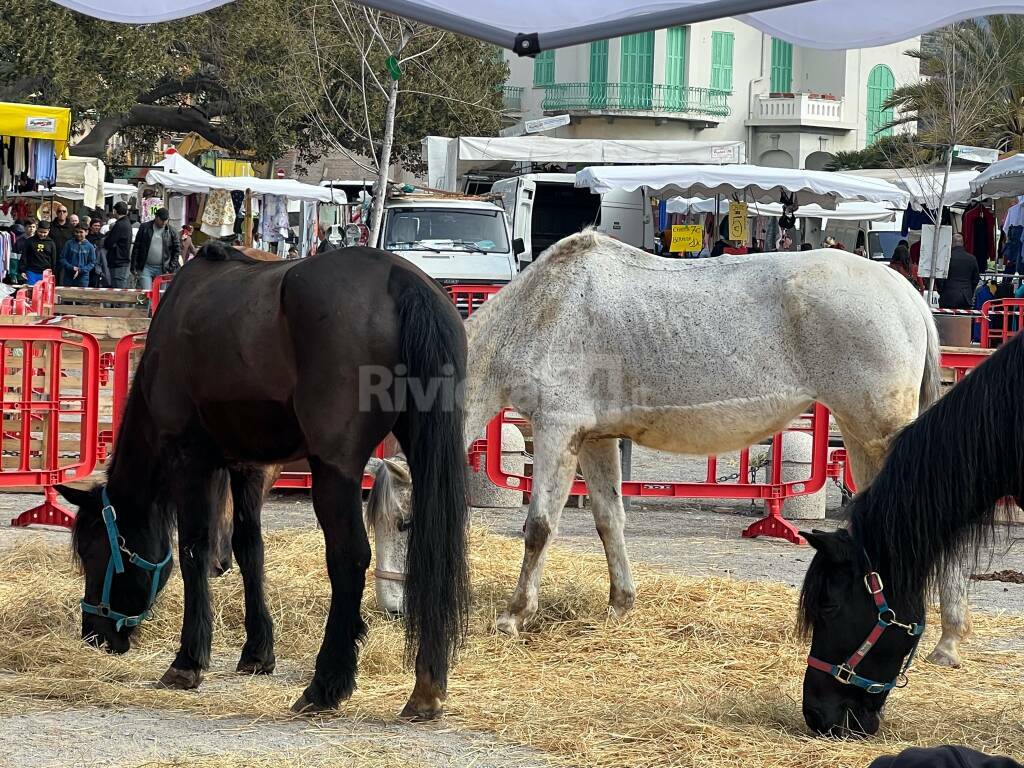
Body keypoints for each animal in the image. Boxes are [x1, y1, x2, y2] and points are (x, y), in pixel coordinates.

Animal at [59, 241, 468, 720]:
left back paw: (325, 685)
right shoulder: (247, 467)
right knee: (432, 548)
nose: (95, 633)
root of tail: (397, 278)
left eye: (92, 551)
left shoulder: (189, 461)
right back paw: (426, 687)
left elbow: (195, 549)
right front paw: (256, 652)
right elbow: (248, 548)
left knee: (348, 558)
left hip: (334, 470)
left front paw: (188, 660)